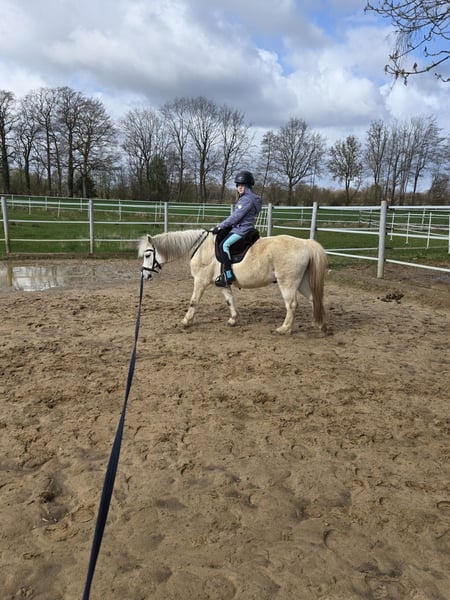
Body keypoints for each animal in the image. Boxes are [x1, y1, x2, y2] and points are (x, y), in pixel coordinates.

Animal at [138, 229, 327, 334]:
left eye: (147, 255)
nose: (144, 275)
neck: (200, 249)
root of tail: (305, 243)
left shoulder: (200, 281)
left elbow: (193, 302)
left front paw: (186, 321)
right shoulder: (222, 283)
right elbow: (230, 300)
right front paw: (233, 320)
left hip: (287, 283)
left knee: (292, 305)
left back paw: (284, 329)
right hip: (301, 282)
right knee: (314, 300)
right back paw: (319, 324)